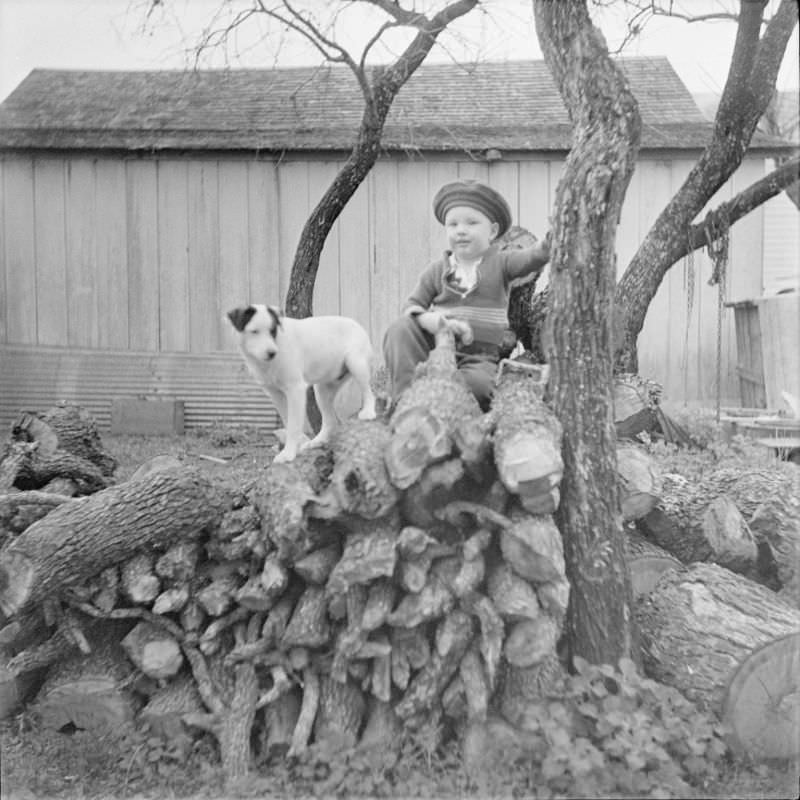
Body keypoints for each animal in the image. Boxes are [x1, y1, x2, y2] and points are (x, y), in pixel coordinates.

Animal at [225, 304, 376, 460]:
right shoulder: (275, 394)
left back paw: (368, 412)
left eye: (272, 331)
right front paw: (296, 447)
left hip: (356, 363)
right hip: (322, 389)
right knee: (330, 420)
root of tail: (356, 324)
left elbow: (293, 425)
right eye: (254, 331)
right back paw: (317, 442)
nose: (272, 353)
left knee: (369, 393)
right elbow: (288, 421)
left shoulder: (295, 389)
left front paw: (288, 454)